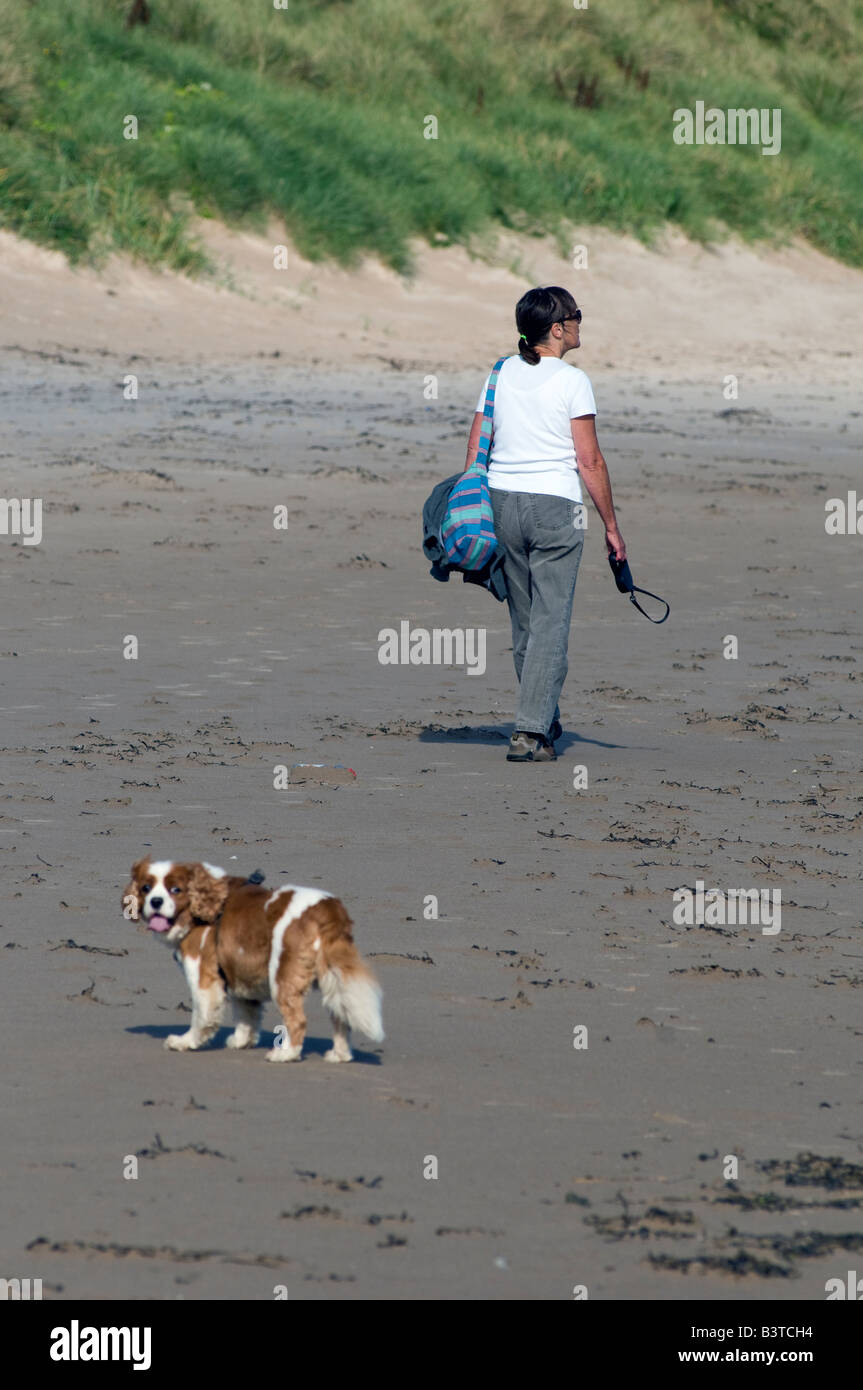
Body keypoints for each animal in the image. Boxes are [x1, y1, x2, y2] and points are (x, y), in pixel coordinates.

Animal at [119, 856, 380, 1061]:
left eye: (175, 890)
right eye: (146, 888)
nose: (156, 901)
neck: (206, 901)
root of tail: (327, 907)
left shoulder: (203, 975)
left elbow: (201, 1016)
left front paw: (186, 1041)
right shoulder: (238, 970)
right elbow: (247, 1012)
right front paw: (241, 1040)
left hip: (283, 977)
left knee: (297, 1020)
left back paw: (286, 1054)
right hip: (333, 978)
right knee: (342, 1018)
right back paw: (339, 1054)